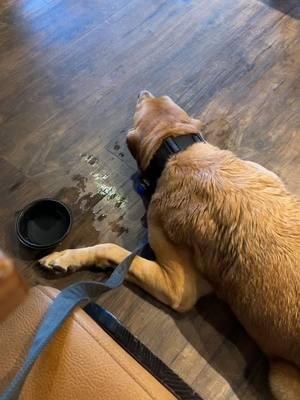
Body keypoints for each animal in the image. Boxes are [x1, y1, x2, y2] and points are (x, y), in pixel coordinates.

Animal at [40, 91, 300, 400]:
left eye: (139, 105)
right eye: (162, 97)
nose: (143, 91)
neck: (179, 151)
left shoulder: (178, 288)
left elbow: (114, 250)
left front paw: (66, 257)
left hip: (283, 380)